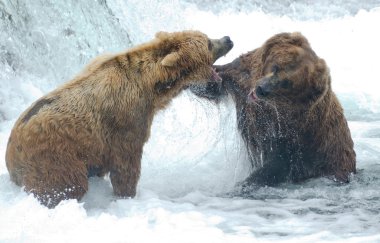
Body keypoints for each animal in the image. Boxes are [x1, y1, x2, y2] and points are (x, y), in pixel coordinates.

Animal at [5, 29, 233, 207]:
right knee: (67, 185)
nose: (228, 38)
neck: (152, 87)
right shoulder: (125, 121)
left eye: (207, 36)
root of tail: (11, 154)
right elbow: (126, 165)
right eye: (209, 42)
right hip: (54, 157)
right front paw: (127, 195)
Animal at [191, 32, 354, 187]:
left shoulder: (294, 132)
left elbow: (277, 162)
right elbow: (215, 84)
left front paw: (246, 183)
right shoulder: (239, 81)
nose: (262, 89)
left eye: (287, 83)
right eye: (276, 67)